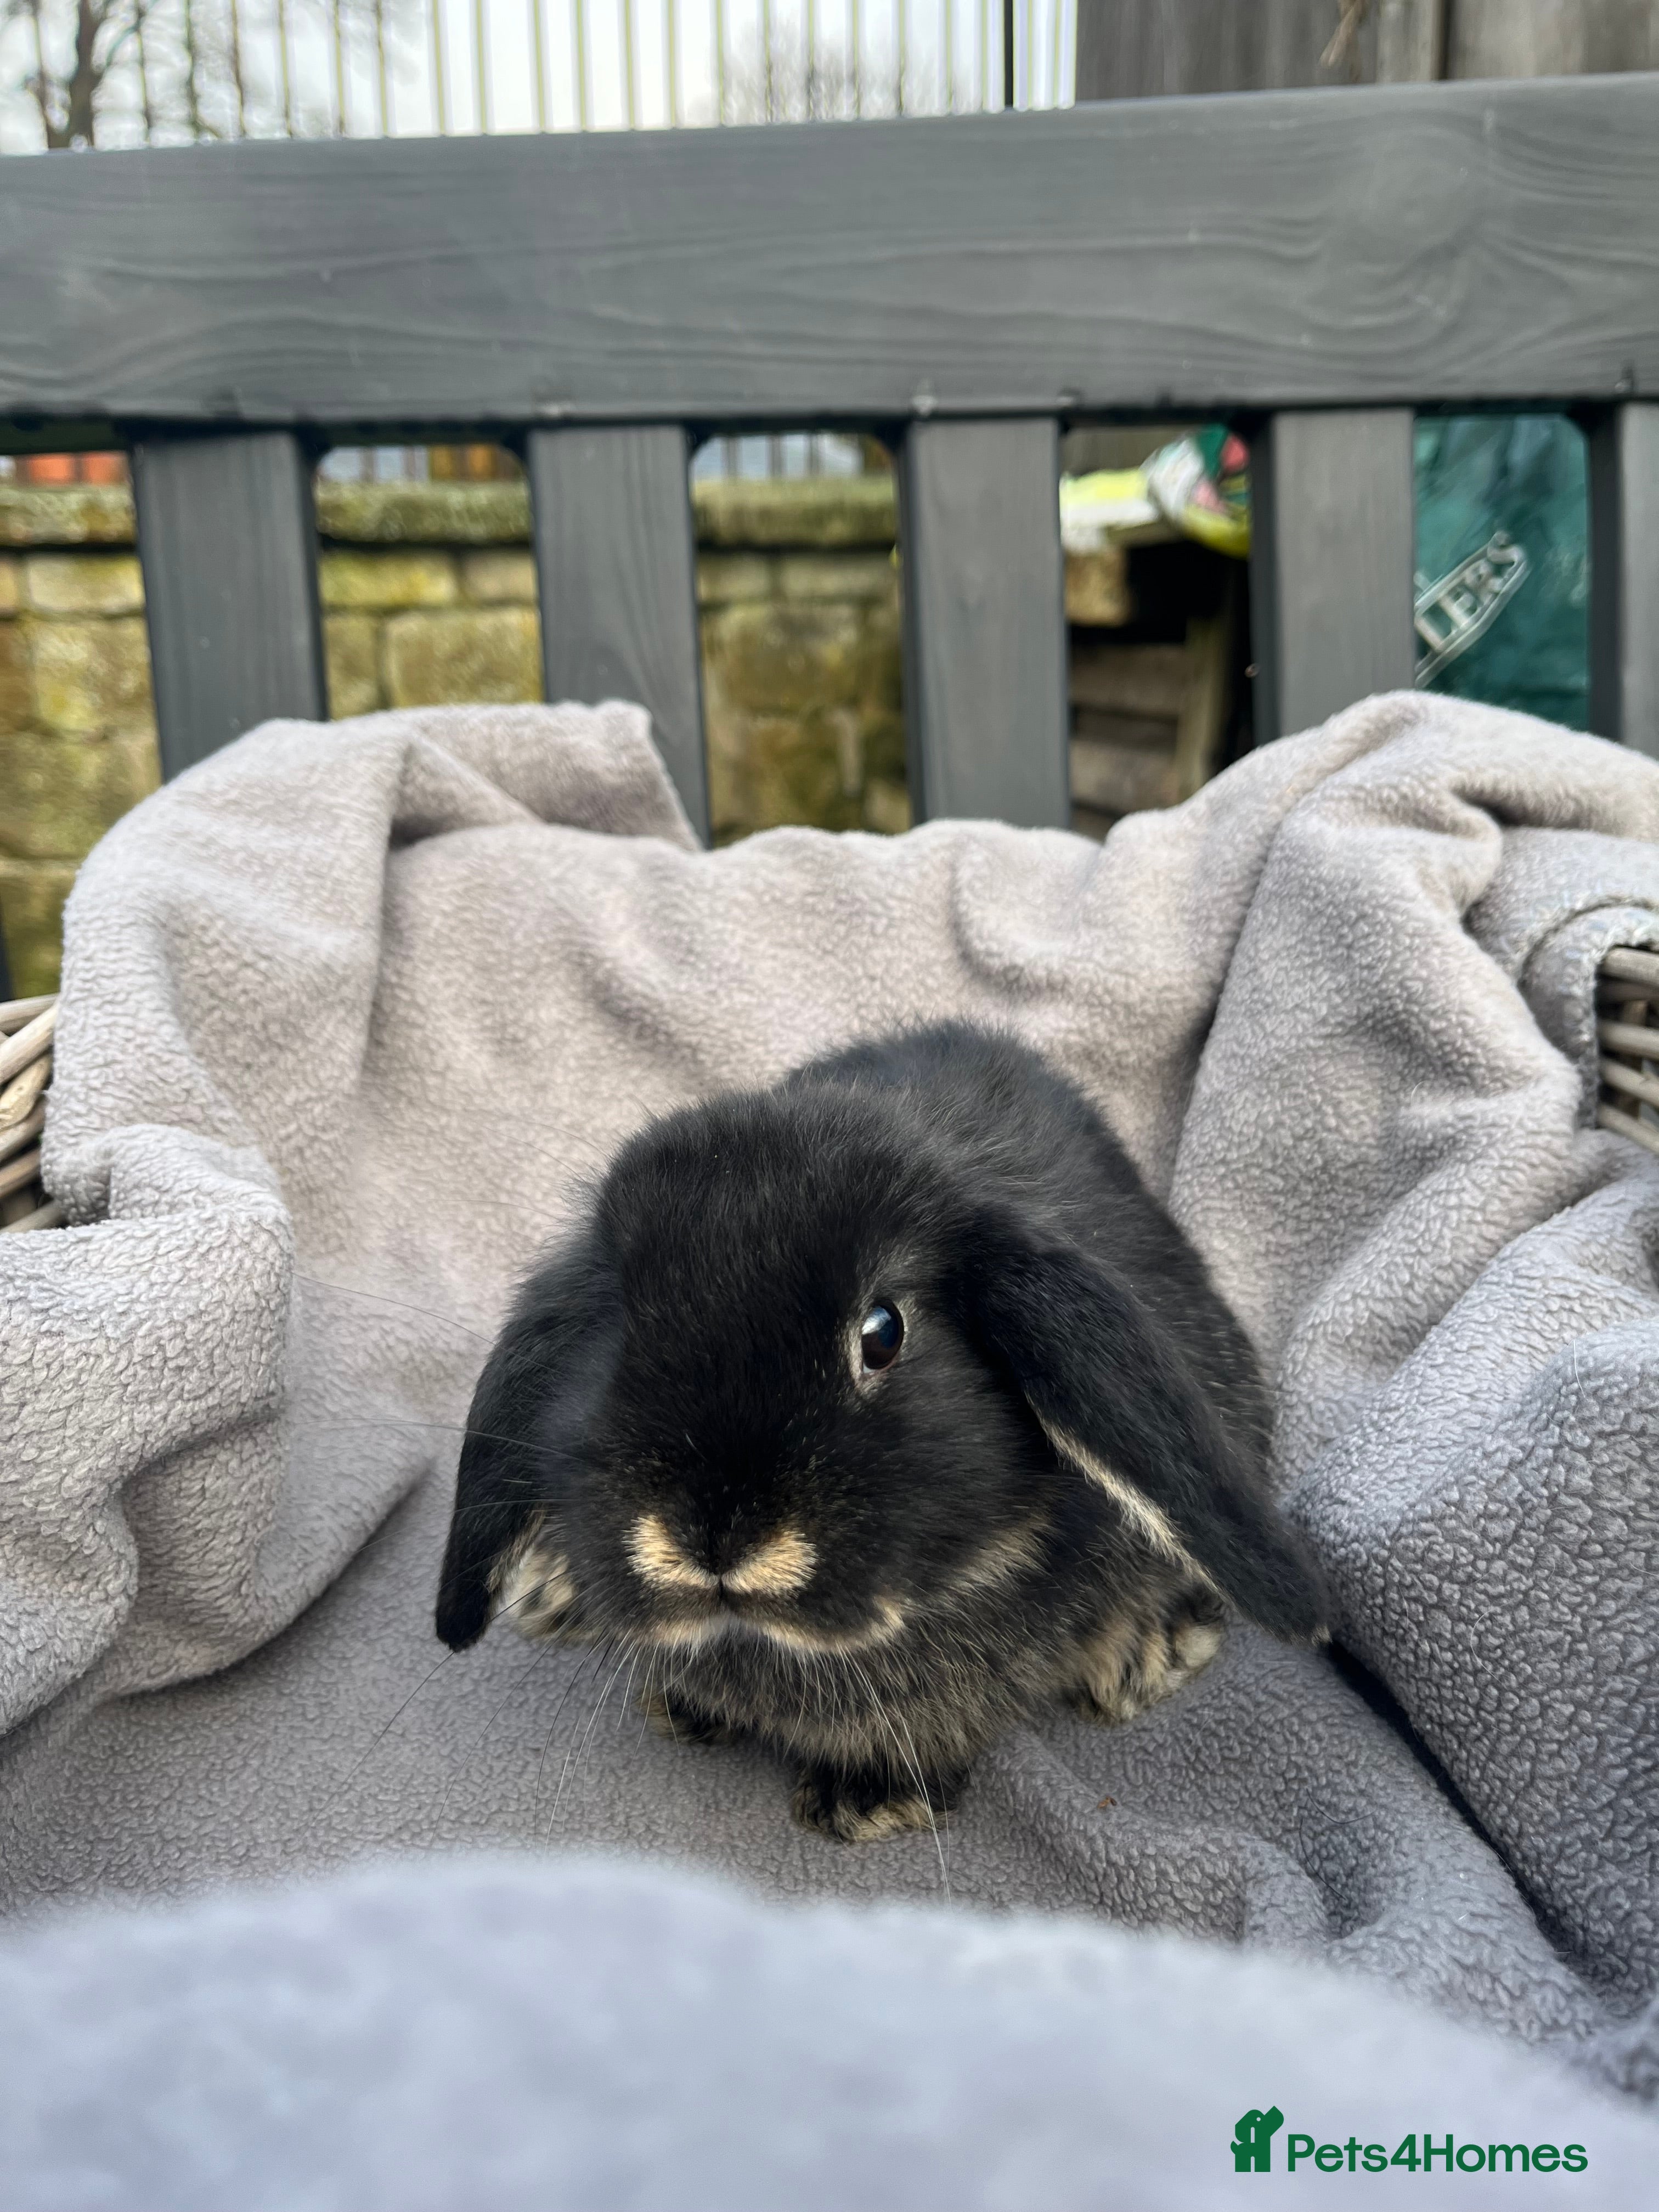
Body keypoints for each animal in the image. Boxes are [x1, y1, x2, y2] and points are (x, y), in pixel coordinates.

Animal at [435, 1022, 1327, 1843]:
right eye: (617, 1327)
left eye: (883, 1332)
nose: (714, 1542)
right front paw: (686, 1709)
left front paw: (866, 1801)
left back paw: (1145, 1655)